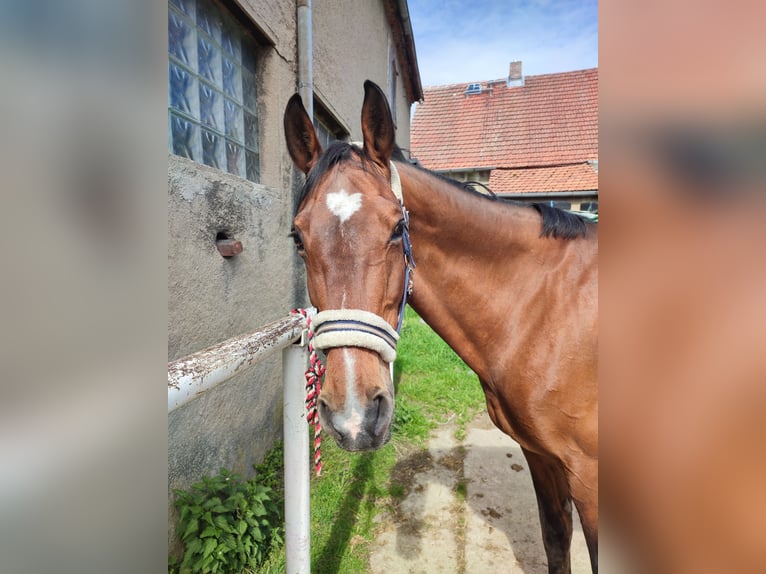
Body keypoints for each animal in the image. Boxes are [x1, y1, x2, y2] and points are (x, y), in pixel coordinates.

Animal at [283, 80, 598, 574]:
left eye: (397, 228)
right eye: (298, 237)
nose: (355, 418)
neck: (546, 306)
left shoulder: (591, 477)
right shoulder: (542, 457)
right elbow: (554, 539)